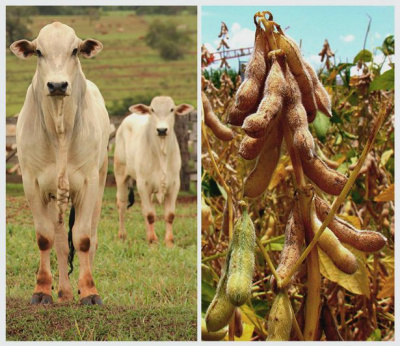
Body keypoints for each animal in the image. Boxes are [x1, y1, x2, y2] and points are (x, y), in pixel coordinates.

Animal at [11, 21, 111, 304]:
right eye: (38, 52)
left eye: (75, 50)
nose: (57, 85)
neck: (60, 131)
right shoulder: (32, 184)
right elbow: (45, 239)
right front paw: (42, 290)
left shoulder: (89, 183)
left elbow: (83, 238)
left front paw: (89, 291)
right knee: (59, 242)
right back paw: (64, 292)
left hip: (101, 179)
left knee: (92, 236)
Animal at [114, 95, 194, 246]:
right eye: (152, 110)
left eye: (172, 109)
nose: (162, 130)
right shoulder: (143, 184)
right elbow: (151, 215)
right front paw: (153, 240)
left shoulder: (174, 184)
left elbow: (169, 215)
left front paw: (168, 241)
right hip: (120, 174)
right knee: (121, 203)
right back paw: (122, 235)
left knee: (144, 207)